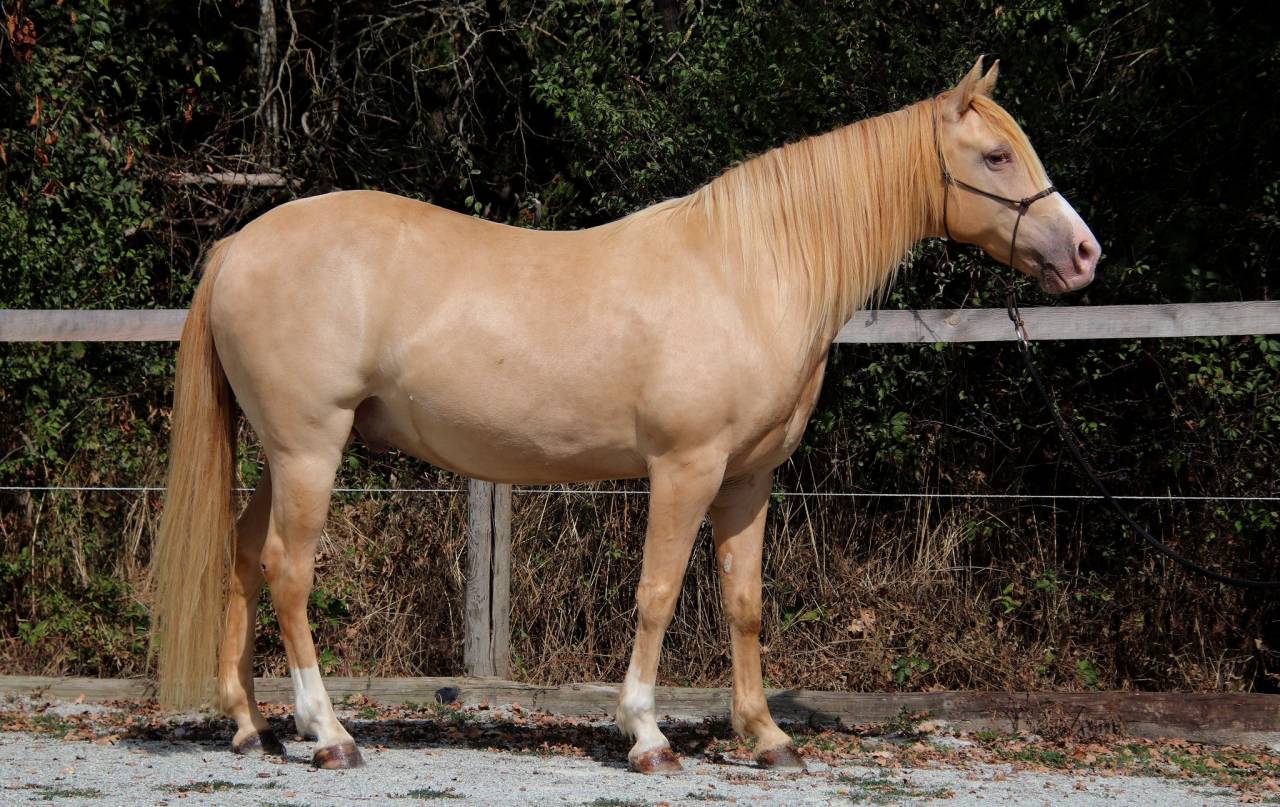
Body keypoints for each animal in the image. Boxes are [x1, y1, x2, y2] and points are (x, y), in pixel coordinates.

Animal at [150, 56, 1099, 773]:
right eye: (995, 157)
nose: (1086, 253)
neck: (748, 272)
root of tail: (240, 244)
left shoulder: (748, 478)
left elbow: (743, 600)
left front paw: (767, 736)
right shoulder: (686, 467)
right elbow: (659, 592)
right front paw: (646, 732)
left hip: (283, 454)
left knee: (244, 556)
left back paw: (250, 725)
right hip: (311, 446)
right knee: (289, 569)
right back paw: (329, 732)